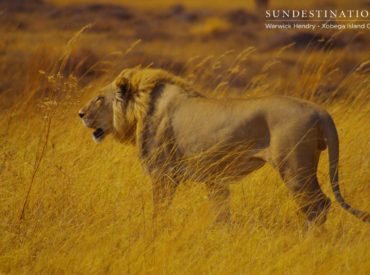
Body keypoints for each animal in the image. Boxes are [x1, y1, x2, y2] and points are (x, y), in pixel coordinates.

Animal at [77, 67, 368, 226]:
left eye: (99, 99)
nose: (80, 113)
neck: (140, 109)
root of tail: (320, 111)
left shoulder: (162, 174)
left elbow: (159, 210)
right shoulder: (215, 180)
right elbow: (221, 214)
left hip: (295, 168)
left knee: (319, 206)